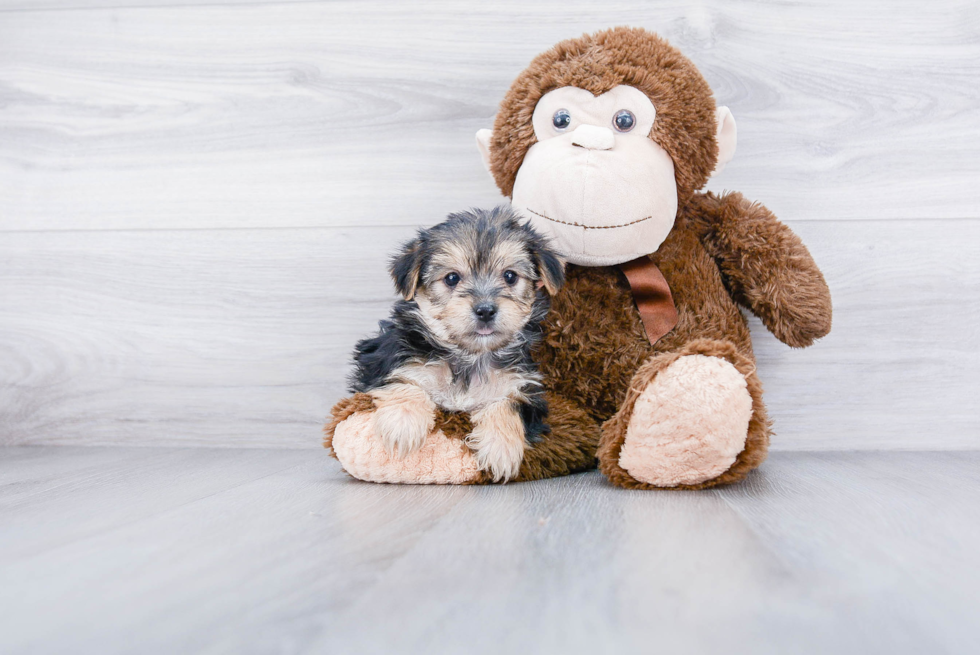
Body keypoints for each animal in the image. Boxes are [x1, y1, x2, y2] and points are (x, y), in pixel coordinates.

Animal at [346, 208, 564, 484]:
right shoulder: (382, 361)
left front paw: (501, 449)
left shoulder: (522, 386)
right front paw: (402, 424)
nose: (485, 310)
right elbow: (406, 379)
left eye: (510, 276)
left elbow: (509, 405)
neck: (469, 356)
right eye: (452, 278)